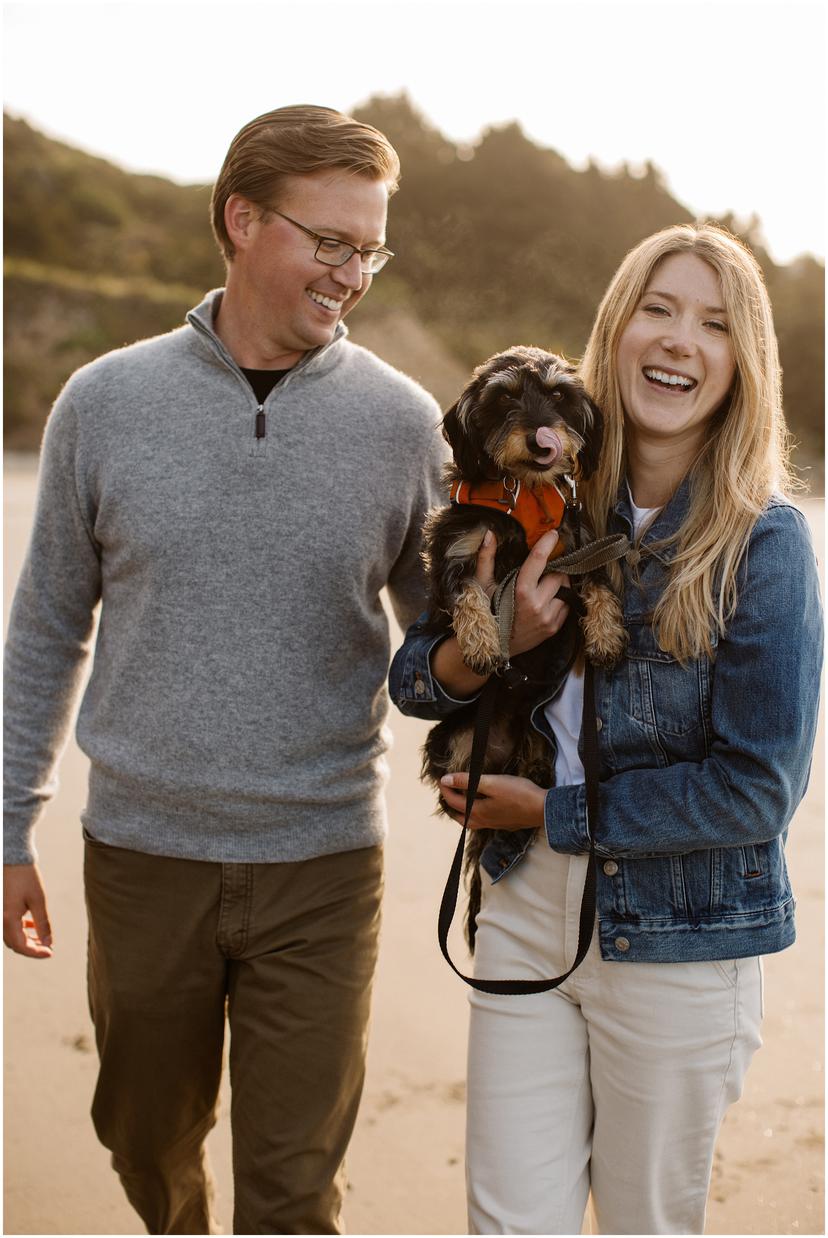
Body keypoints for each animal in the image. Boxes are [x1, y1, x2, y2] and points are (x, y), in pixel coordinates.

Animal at [420, 344, 618, 940]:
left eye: (557, 396)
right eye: (504, 399)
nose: (540, 441)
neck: (524, 493)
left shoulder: (577, 542)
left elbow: (599, 583)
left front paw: (605, 634)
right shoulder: (459, 547)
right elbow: (468, 597)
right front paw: (483, 644)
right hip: (457, 745)